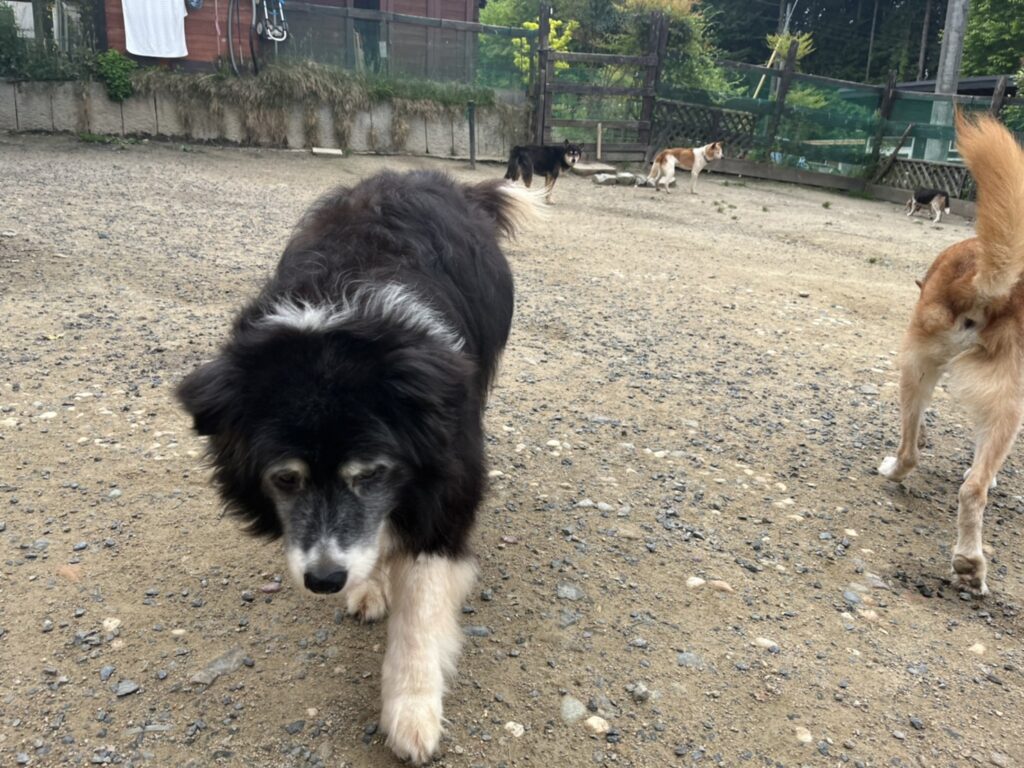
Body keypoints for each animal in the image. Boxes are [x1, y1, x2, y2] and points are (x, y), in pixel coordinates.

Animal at [177, 170, 539, 764]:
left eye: (371, 473)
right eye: (285, 478)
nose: (325, 580)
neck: (340, 313)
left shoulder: (447, 480)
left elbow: (421, 606)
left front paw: (412, 713)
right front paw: (366, 585)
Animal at [878, 112, 1024, 596]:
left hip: (915, 366)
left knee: (911, 453)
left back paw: (894, 470)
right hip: (1005, 397)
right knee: (975, 488)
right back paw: (969, 562)